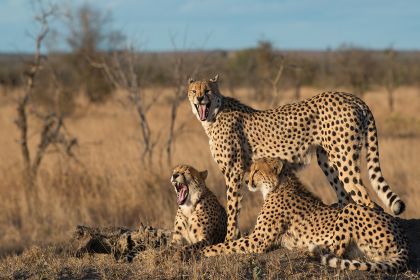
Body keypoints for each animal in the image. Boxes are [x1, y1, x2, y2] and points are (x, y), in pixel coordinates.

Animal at [189, 75, 406, 241]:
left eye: (208, 90)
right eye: (193, 90)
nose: (199, 99)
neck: (213, 115)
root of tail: (351, 96)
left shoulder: (233, 171)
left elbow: (233, 207)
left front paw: (229, 238)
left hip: (343, 157)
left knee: (366, 199)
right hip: (327, 159)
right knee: (346, 196)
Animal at [202, 159, 408, 272]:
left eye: (257, 171)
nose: (246, 181)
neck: (277, 186)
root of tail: (401, 236)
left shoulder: (258, 240)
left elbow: (226, 245)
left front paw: (204, 251)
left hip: (350, 209)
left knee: (336, 250)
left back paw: (308, 249)